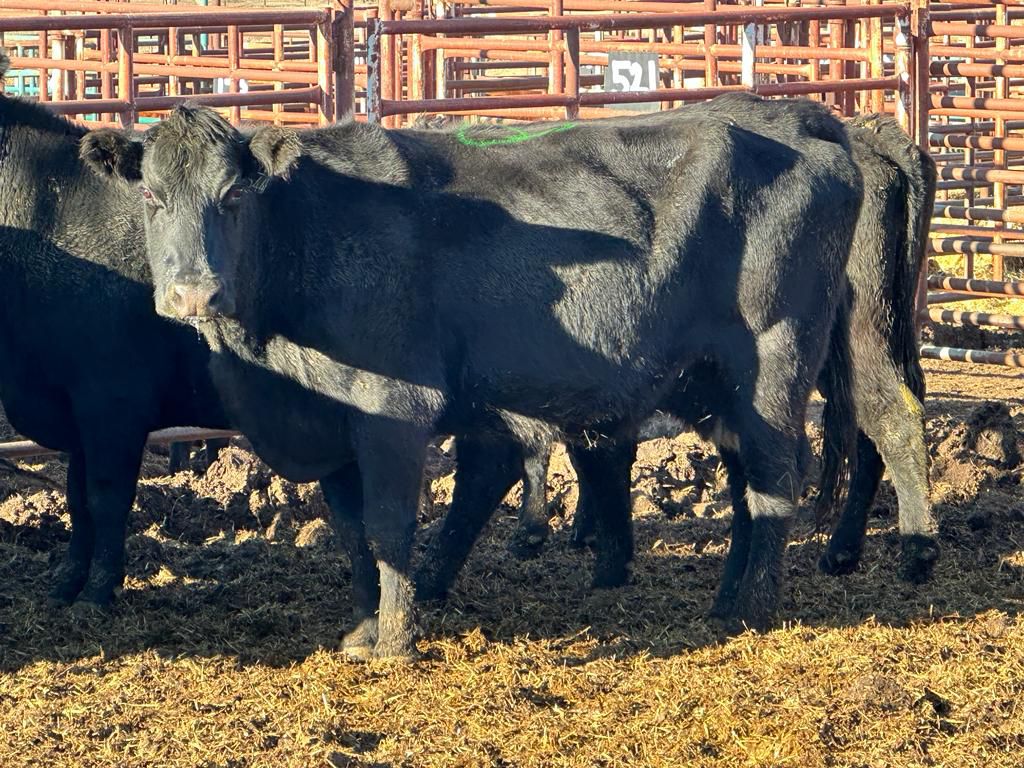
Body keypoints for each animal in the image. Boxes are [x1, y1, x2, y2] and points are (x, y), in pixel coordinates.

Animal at [0, 57, 230, 607]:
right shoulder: (73, 408)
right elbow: (76, 499)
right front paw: (67, 581)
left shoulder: (112, 402)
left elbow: (105, 497)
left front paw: (99, 589)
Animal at [82, 94, 862, 658]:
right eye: (150, 196)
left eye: (233, 196)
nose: (194, 293)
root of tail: (803, 120)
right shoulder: (334, 424)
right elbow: (351, 530)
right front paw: (365, 625)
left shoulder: (392, 411)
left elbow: (389, 525)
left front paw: (395, 641)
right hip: (715, 383)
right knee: (746, 486)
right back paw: (728, 600)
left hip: (773, 364)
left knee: (774, 480)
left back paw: (752, 609)